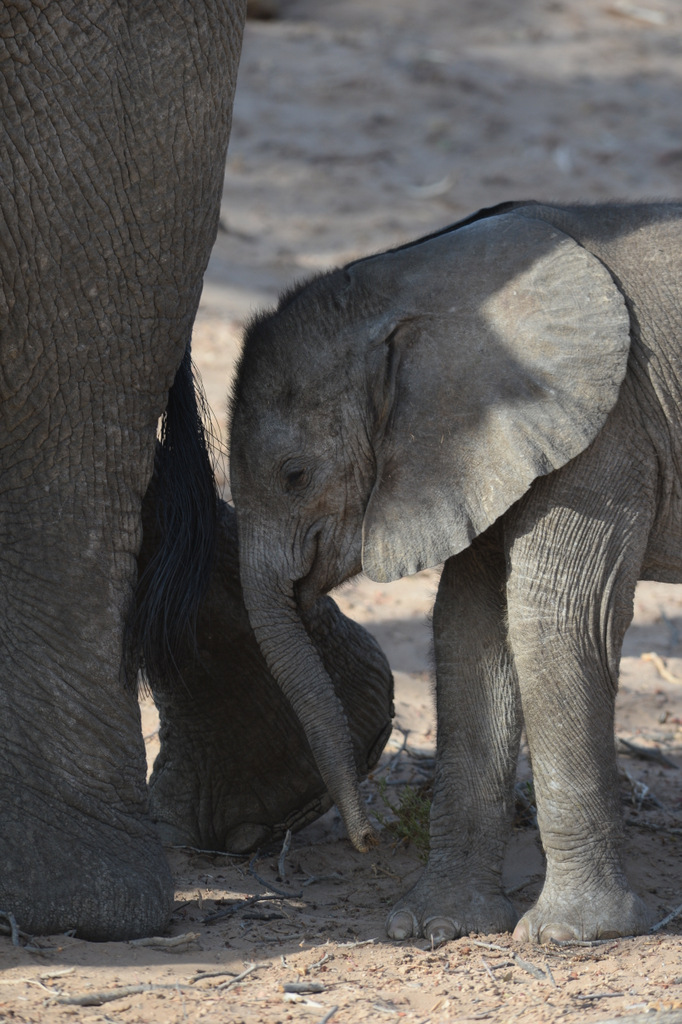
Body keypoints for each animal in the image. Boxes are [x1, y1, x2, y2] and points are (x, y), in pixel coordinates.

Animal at [229, 201, 679, 942]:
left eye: (295, 476)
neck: (410, 284)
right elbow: (468, 628)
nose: (367, 841)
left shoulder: (610, 422)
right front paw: (435, 924)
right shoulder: (477, 449)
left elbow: (554, 615)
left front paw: (568, 936)